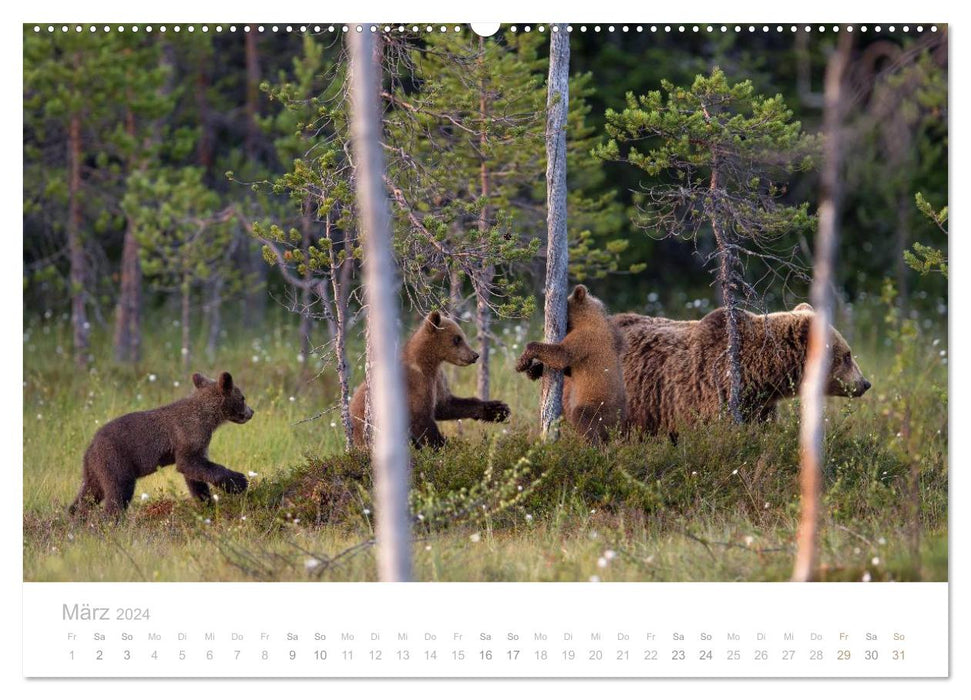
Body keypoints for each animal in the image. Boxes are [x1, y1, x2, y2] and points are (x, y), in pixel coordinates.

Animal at [70, 372, 256, 516]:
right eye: (243, 397)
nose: (251, 412)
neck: (208, 418)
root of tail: (90, 446)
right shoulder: (189, 434)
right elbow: (190, 464)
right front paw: (239, 481)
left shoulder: (199, 443)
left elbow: (195, 474)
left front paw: (206, 502)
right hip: (114, 459)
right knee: (118, 491)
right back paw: (111, 520)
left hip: (95, 468)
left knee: (89, 493)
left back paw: (75, 517)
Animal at [354, 312, 512, 448]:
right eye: (457, 338)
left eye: (462, 336)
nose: (474, 355)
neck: (429, 363)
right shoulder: (414, 383)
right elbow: (421, 420)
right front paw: (445, 448)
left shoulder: (437, 380)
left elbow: (445, 405)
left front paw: (499, 409)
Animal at [516, 284, 632, 442]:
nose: (543, 327)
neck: (588, 318)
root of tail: (618, 423)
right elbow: (568, 369)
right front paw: (533, 370)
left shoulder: (585, 339)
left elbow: (561, 355)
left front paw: (522, 361)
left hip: (598, 405)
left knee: (584, 419)